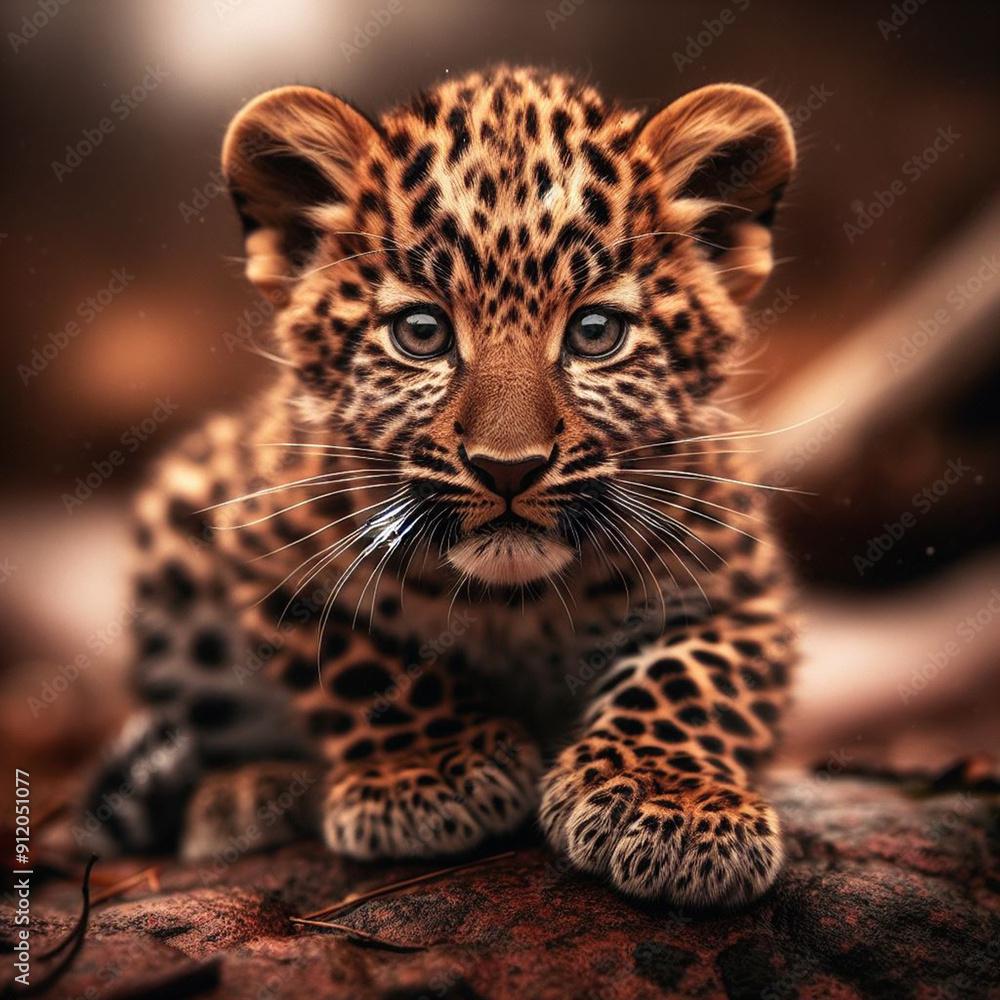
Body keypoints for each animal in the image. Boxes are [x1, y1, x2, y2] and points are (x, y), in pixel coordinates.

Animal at [81, 65, 800, 908]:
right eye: (421, 333)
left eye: (596, 333)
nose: (508, 466)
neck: (516, 603)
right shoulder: (267, 540)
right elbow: (361, 659)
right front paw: (432, 770)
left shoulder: (740, 584)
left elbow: (692, 676)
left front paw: (670, 802)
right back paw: (246, 795)